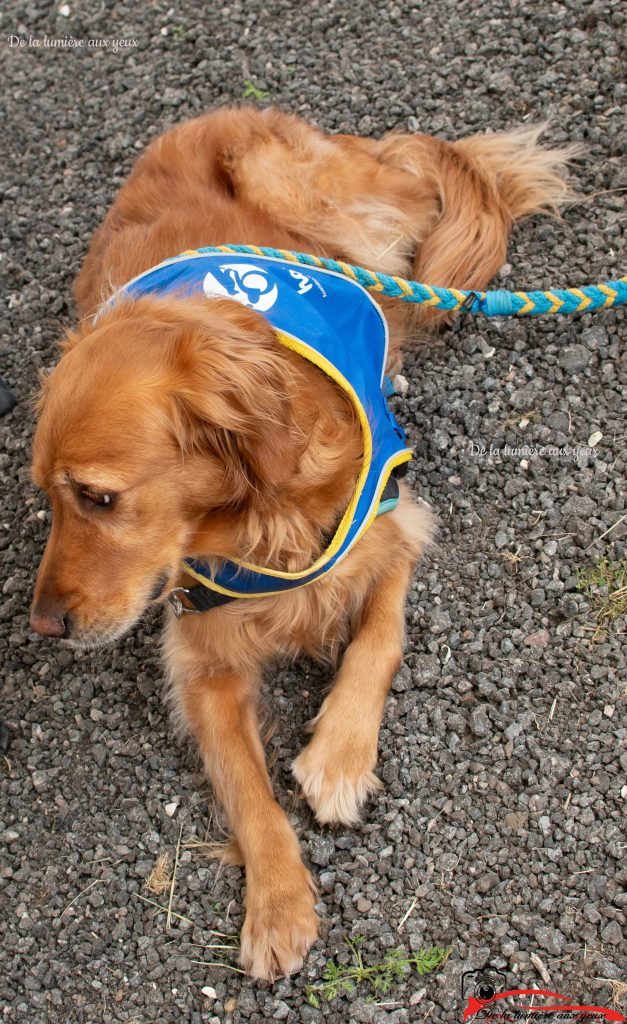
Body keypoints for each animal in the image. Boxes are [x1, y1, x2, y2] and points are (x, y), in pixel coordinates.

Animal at [28, 108, 573, 978]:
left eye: (100, 497)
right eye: (44, 495)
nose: (43, 626)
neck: (258, 515)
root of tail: (222, 110)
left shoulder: (391, 519)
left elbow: (379, 638)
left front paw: (339, 758)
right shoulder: (201, 654)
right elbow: (249, 792)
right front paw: (278, 904)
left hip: (307, 188)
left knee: (428, 192)